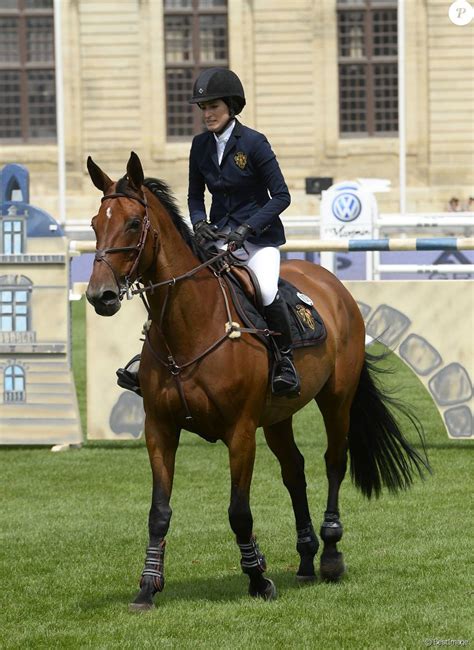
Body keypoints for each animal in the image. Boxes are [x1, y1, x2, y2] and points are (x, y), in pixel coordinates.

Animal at [85, 151, 430, 608]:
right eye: (94, 223)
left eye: (133, 223)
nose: (99, 296)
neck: (189, 325)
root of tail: (332, 284)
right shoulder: (159, 428)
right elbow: (158, 513)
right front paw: (147, 586)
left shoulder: (241, 431)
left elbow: (239, 511)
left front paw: (257, 578)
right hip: (279, 415)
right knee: (295, 470)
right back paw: (305, 558)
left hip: (336, 399)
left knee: (333, 463)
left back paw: (330, 554)